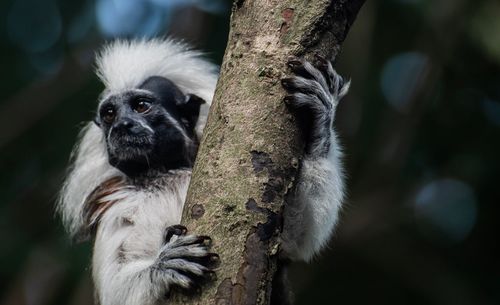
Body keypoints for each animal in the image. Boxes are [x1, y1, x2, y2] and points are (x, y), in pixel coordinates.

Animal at [57, 38, 348, 304]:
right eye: (110, 114)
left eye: (141, 106)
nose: (122, 126)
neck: (164, 173)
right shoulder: (114, 206)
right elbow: (115, 290)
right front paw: (162, 265)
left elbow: (294, 241)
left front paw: (319, 122)